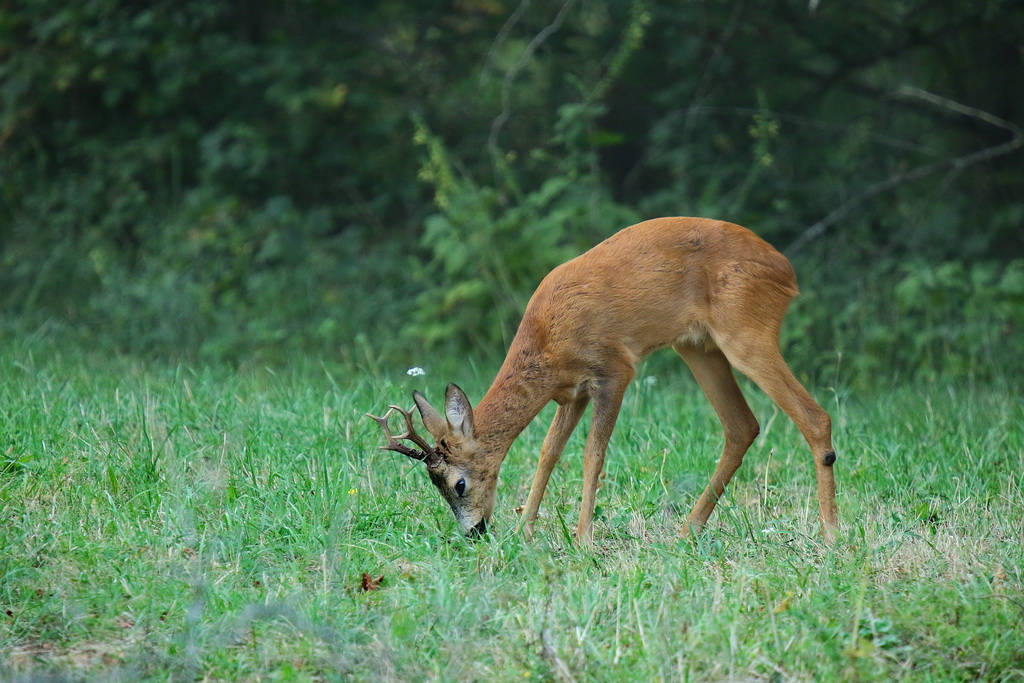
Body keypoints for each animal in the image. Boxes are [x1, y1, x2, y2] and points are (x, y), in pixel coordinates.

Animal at [368, 216, 839, 548]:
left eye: (459, 483)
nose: (475, 532)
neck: (546, 339)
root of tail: (787, 272)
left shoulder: (614, 370)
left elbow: (592, 455)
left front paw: (582, 540)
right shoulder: (569, 393)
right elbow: (548, 452)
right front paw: (525, 532)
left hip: (745, 331)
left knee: (814, 416)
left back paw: (831, 534)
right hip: (697, 347)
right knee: (742, 425)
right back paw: (686, 531)